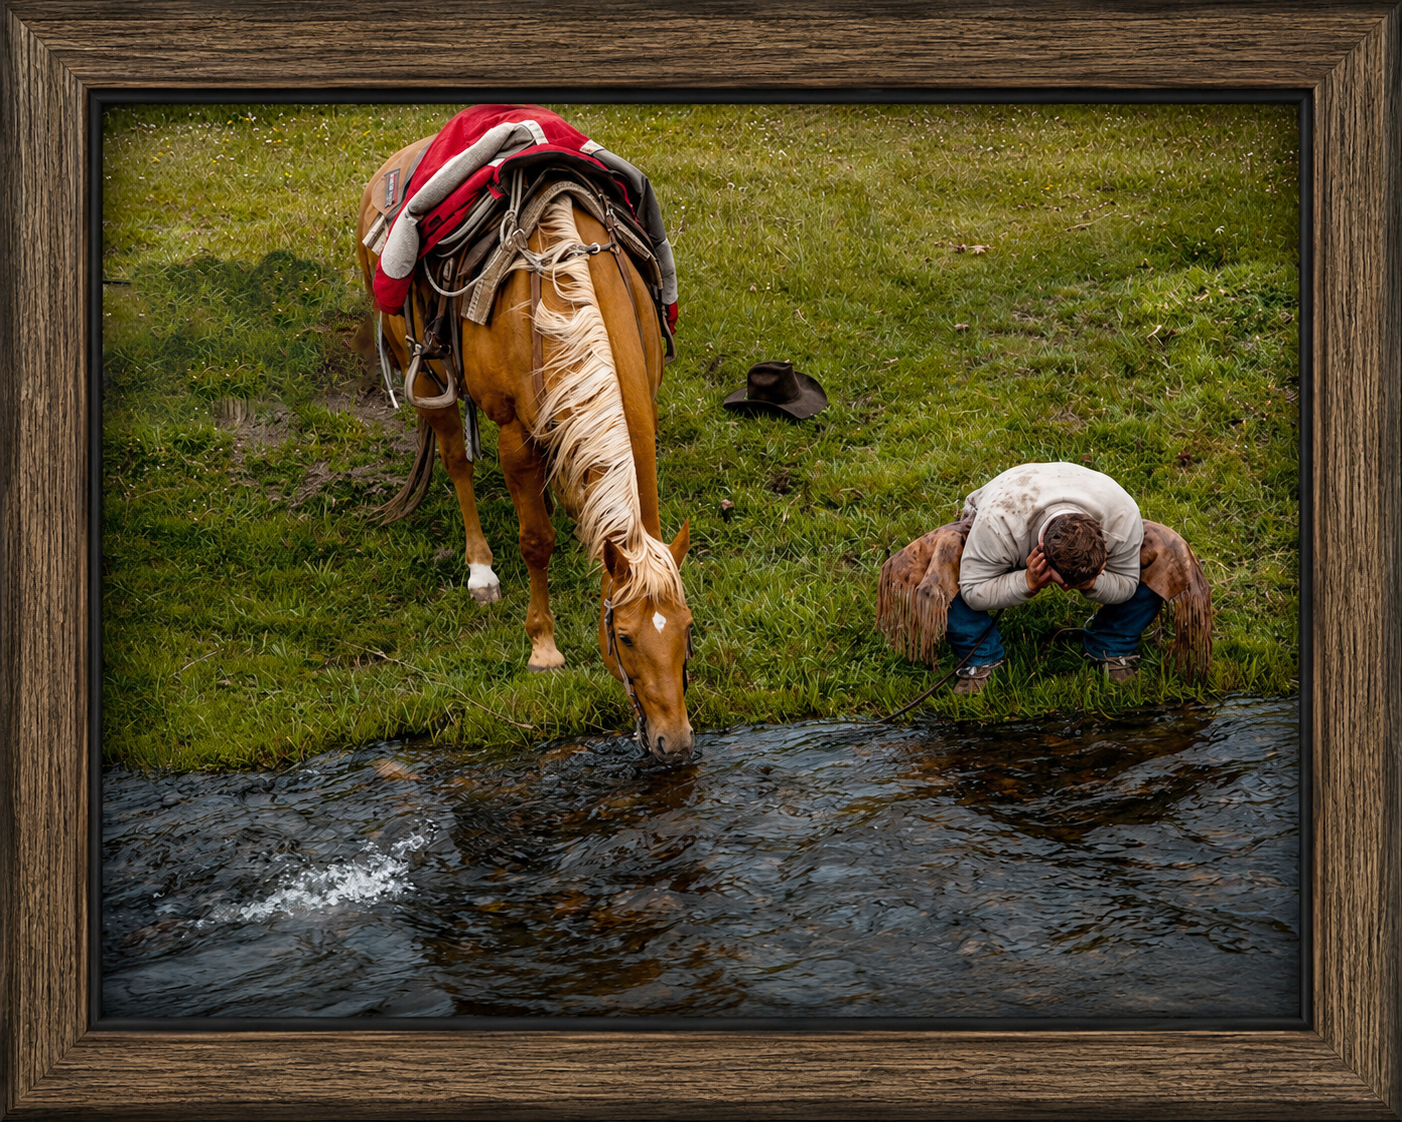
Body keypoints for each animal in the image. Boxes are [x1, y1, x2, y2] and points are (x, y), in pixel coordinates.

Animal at [356, 144, 695, 764]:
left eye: (686, 629)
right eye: (623, 637)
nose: (674, 741)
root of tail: (394, 165)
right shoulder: (515, 434)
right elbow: (535, 541)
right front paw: (544, 649)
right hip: (428, 376)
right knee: (457, 463)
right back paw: (481, 573)